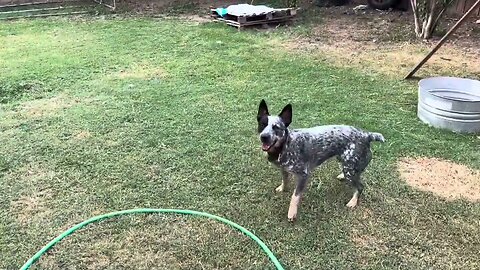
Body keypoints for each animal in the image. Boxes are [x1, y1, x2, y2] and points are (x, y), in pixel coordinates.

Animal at [256, 99, 384, 221]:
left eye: (276, 127)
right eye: (262, 124)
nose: (264, 137)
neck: (286, 144)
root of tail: (366, 135)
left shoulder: (303, 175)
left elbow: (294, 196)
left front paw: (292, 213)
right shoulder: (283, 169)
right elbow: (285, 180)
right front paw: (282, 188)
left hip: (350, 170)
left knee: (360, 187)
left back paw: (353, 201)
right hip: (344, 161)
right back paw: (342, 176)